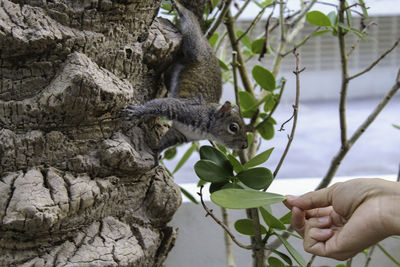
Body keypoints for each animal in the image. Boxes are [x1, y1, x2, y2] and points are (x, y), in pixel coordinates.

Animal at [122, 0, 247, 164]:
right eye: (233, 127)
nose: (245, 145)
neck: (207, 128)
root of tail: (207, 44)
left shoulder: (181, 133)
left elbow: (166, 140)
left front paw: (156, 153)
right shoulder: (186, 110)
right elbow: (160, 105)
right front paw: (137, 111)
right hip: (194, 44)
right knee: (190, 20)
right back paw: (180, 7)